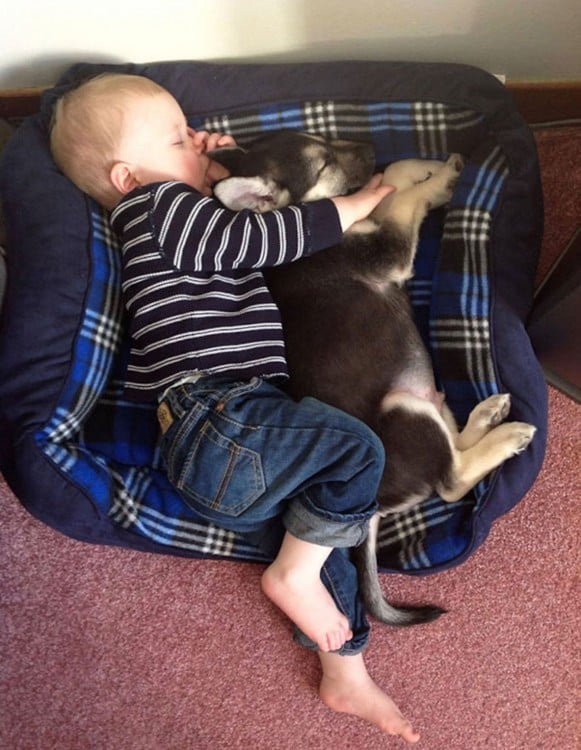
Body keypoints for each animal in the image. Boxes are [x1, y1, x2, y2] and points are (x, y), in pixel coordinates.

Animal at [211, 131, 532, 628]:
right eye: (323, 164)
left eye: (322, 139)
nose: (369, 148)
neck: (290, 228)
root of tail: (376, 501)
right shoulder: (388, 250)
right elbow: (402, 201)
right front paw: (437, 179)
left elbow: (395, 188)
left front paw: (416, 168)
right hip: (403, 407)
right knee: (452, 477)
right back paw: (508, 436)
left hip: (430, 400)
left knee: (455, 445)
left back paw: (488, 414)